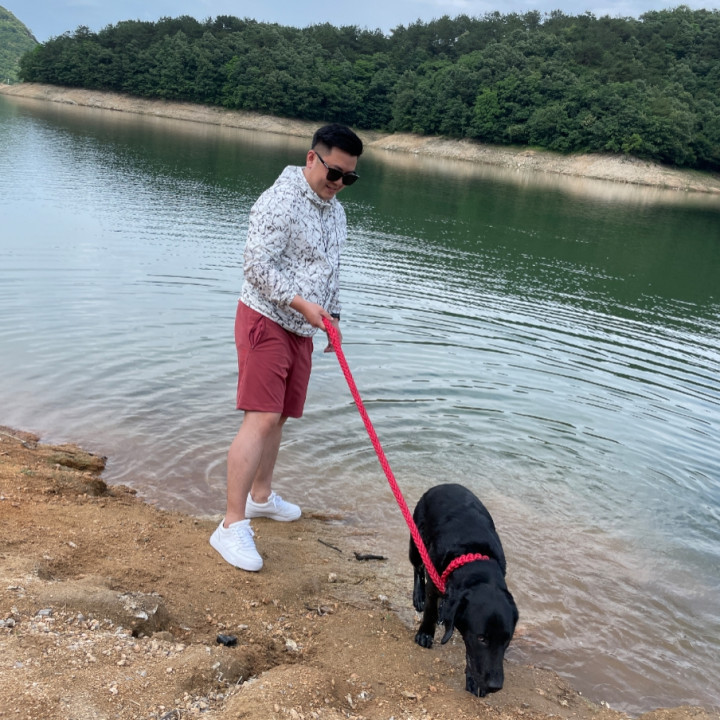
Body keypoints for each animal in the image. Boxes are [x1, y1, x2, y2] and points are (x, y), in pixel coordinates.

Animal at [409, 483, 518, 697]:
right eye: (482, 638)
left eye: (507, 639)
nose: (495, 686)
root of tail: (443, 485)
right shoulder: (433, 578)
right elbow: (430, 610)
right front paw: (425, 633)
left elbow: (471, 656)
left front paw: (474, 682)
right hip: (416, 543)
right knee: (417, 568)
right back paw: (418, 597)